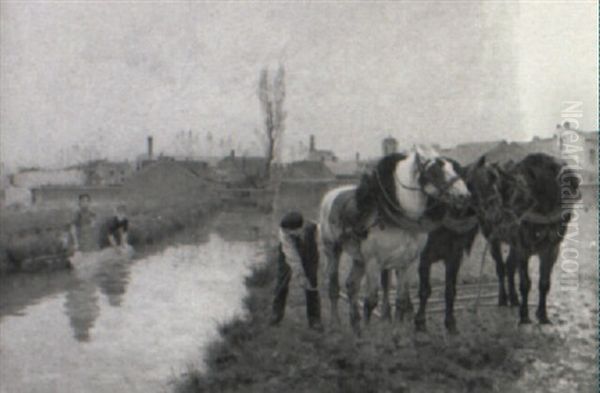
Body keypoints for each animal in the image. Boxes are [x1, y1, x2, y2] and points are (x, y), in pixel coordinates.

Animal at [322, 145, 472, 330]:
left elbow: (401, 300)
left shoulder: (409, 262)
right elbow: (371, 301)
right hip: (332, 250)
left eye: (453, 168)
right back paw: (335, 322)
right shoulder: (374, 262)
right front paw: (369, 332)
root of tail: (332, 194)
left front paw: (397, 332)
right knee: (334, 287)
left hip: (359, 258)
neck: (397, 218)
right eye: (435, 171)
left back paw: (355, 324)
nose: (464, 195)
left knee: (351, 286)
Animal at [466, 153, 580, 324]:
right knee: (501, 268)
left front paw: (542, 314)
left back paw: (514, 298)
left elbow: (544, 283)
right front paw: (525, 315)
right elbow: (525, 283)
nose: (493, 214)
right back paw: (503, 298)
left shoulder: (552, 249)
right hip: (493, 239)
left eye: (494, 178)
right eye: (471, 184)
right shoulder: (523, 248)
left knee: (509, 266)